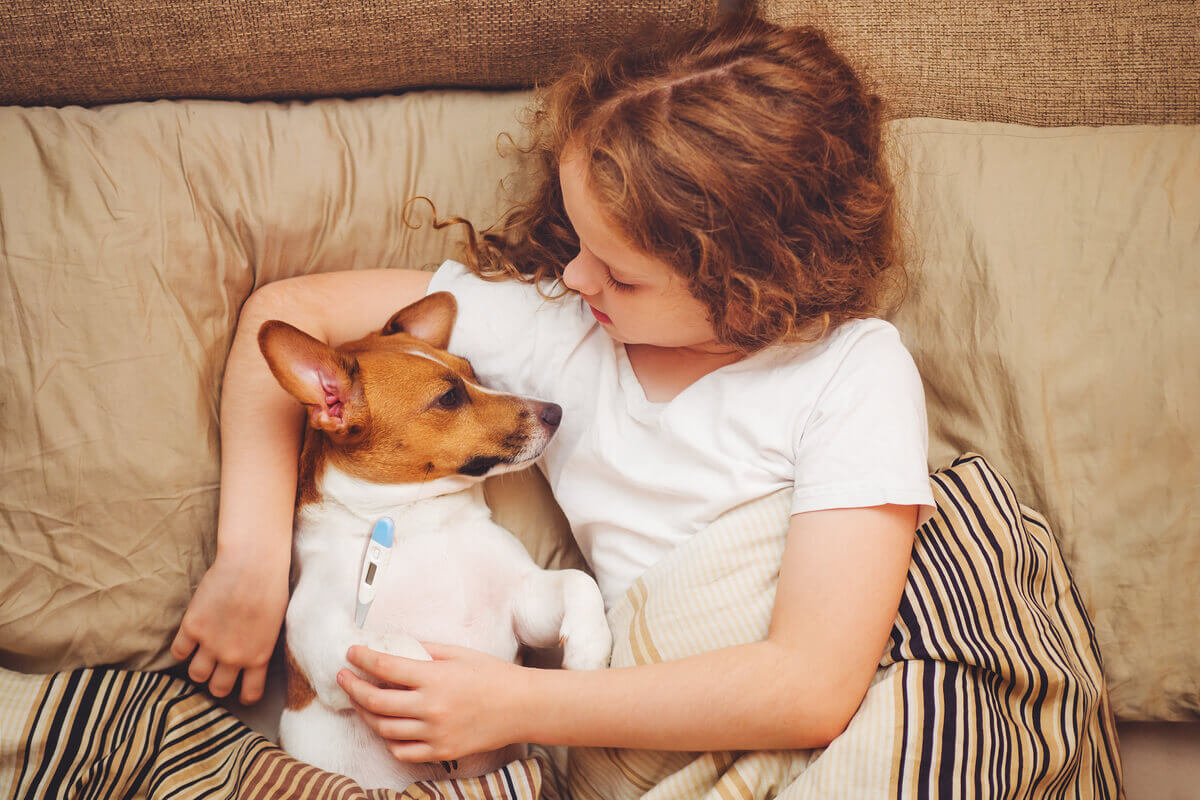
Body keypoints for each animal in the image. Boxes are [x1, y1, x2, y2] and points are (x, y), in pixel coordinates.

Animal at [259, 292, 614, 786]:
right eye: (449, 397)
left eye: (473, 372)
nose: (556, 412)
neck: (419, 521)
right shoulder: (321, 639)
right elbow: (395, 645)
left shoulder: (526, 605)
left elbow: (578, 582)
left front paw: (589, 651)